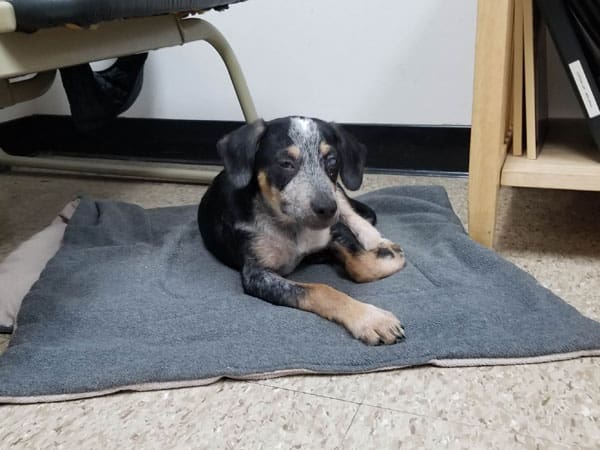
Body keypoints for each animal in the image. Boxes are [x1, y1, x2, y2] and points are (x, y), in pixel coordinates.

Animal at [199, 116, 406, 344]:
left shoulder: (336, 229)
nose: (326, 208)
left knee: (351, 212)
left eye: (332, 161)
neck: (292, 227)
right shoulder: (257, 275)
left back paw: (375, 240)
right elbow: (320, 289)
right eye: (285, 164)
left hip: (337, 191)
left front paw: (389, 257)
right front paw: (372, 319)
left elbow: (362, 264)